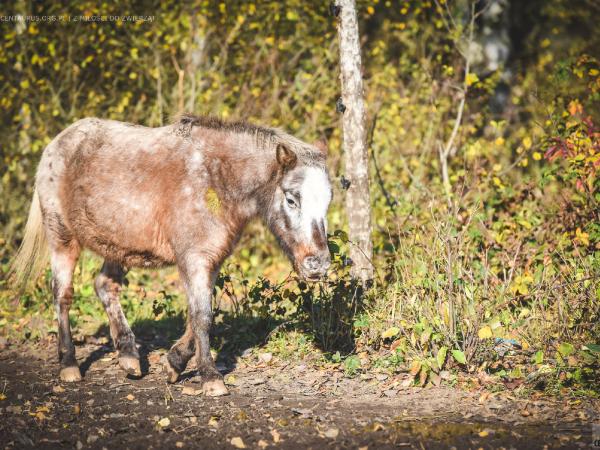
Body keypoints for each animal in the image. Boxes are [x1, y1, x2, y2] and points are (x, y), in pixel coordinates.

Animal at [12, 114, 332, 396]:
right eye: (291, 199)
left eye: (327, 201)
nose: (317, 264)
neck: (215, 178)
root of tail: (57, 143)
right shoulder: (194, 258)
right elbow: (203, 316)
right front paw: (211, 378)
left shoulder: (211, 259)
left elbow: (198, 314)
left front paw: (175, 363)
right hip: (62, 237)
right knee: (62, 295)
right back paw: (69, 364)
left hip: (116, 246)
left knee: (104, 285)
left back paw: (128, 355)